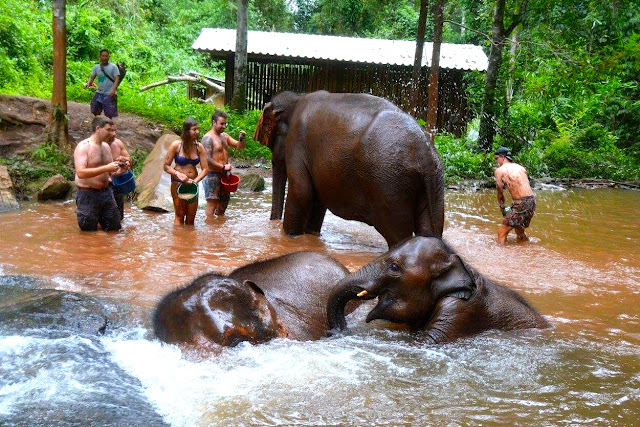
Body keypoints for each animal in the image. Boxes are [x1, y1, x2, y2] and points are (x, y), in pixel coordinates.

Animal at [252, 92, 442, 249]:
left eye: (272, 141)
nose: (273, 225)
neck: (297, 99)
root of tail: (424, 152)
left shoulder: (297, 142)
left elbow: (302, 192)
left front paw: (291, 238)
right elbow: (318, 200)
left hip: (391, 184)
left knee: (398, 234)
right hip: (433, 183)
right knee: (429, 230)